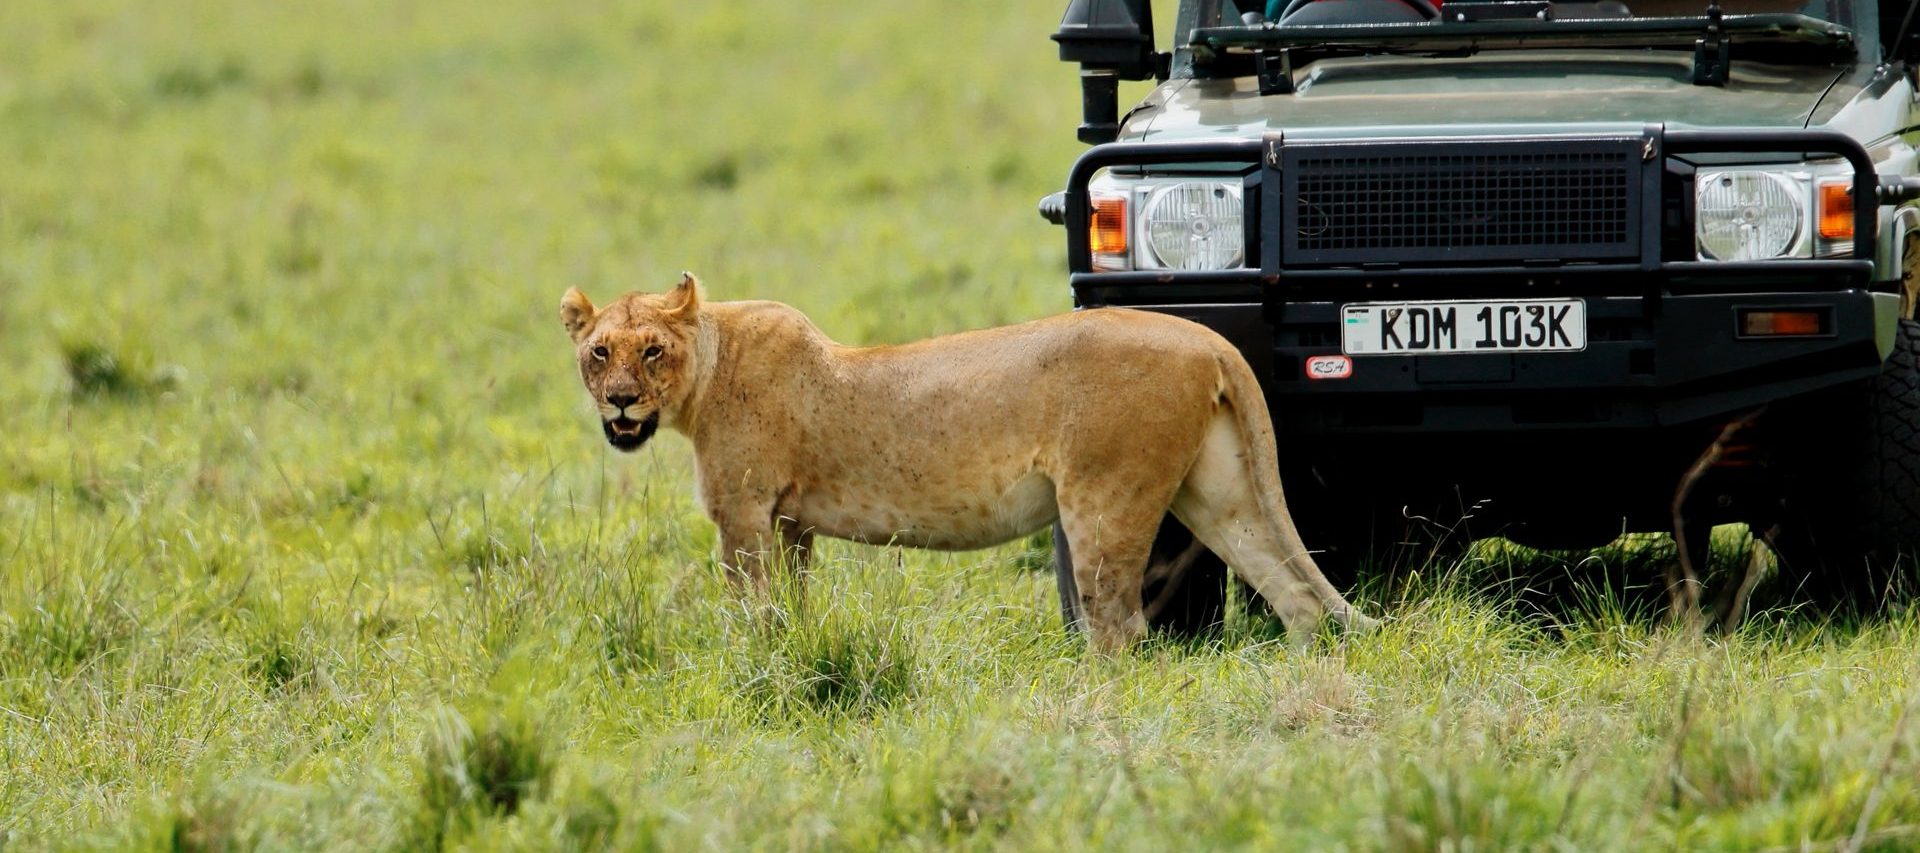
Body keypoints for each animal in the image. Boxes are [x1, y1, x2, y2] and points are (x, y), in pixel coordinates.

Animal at [560, 273, 1374, 650]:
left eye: (652, 350)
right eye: (599, 351)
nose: (622, 402)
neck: (707, 368)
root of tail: (1210, 339)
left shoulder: (744, 514)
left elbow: (749, 613)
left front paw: (749, 668)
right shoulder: (790, 521)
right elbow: (791, 608)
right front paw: (791, 655)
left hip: (1103, 500)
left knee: (1118, 623)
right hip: (1219, 491)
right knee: (1295, 595)